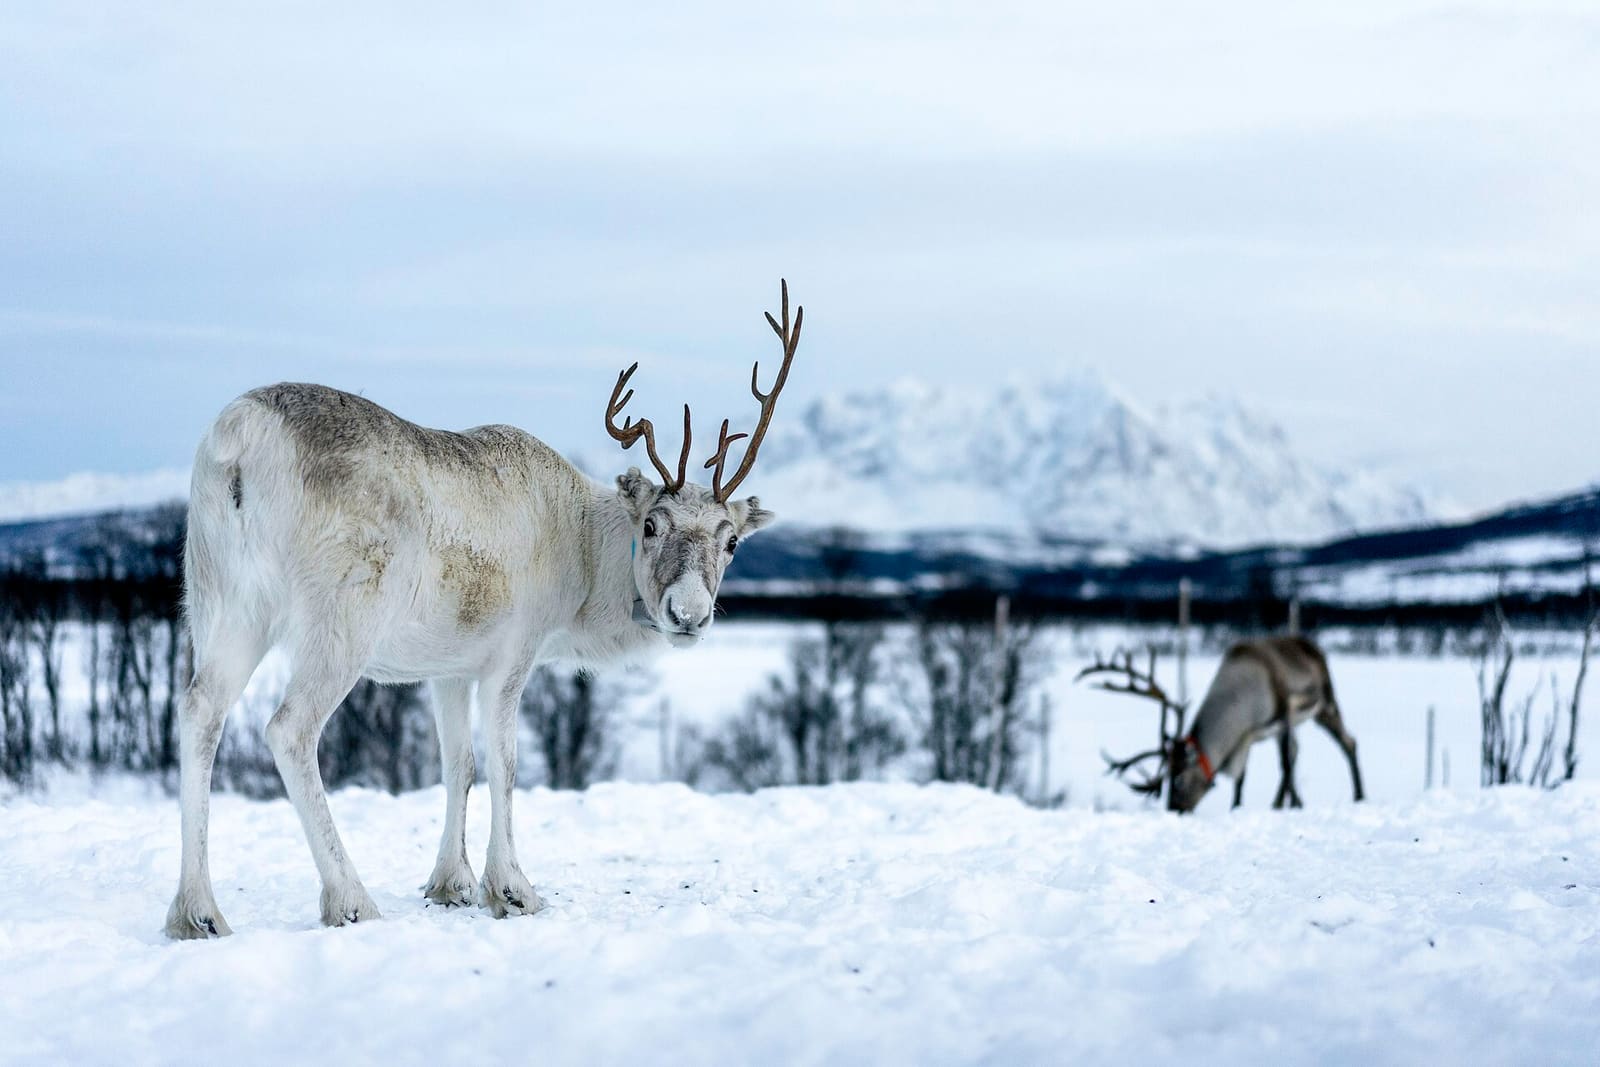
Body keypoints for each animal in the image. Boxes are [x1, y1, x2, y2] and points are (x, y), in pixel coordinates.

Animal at [165, 281, 803, 939]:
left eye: (732, 542)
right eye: (652, 525)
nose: (689, 614)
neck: (583, 553)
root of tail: (241, 439)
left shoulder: (449, 667)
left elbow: (458, 764)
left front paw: (451, 882)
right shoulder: (512, 656)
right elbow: (506, 765)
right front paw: (512, 887)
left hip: (223, 602)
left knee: (199, 710)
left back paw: (197, 911)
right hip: (340, 620)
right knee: (289, 729)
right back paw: (349, 898)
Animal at [1079, 635, 1364, 813]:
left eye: (1179, 779)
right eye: (1167, 776)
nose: (1176, 810)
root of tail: (1312, 646)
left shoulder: (1282, 715)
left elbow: (1283, 764)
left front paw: (1279, 806)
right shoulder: (1246, 737)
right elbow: (1241, 778)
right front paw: (1237, 806)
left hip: (1324, 704)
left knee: (1347, 742)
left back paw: (1358, 795)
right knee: (1297, 751)